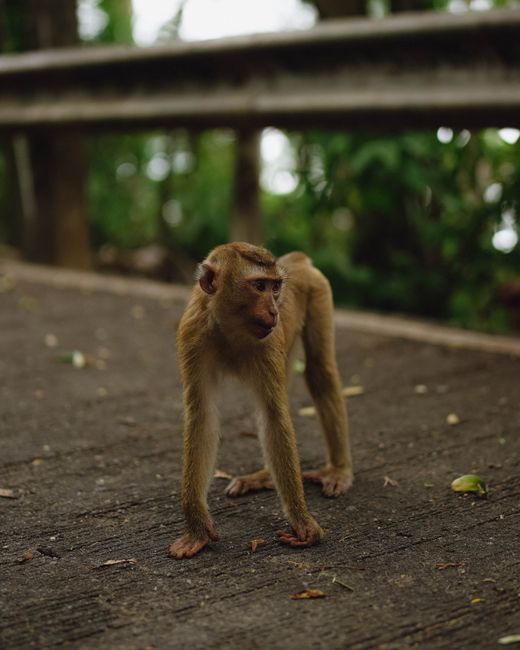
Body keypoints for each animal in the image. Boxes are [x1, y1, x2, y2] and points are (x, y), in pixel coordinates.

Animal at [169, 242, 352, 559]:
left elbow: (273, 416)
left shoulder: (267, 343)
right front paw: (198, 528)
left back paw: (338, 470)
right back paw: (265, 476)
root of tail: (296, 260)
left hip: (319, 291)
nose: (274, 310)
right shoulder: (192, 334)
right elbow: (202, 415)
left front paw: (302, 522)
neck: (228, 328)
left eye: (275, 287)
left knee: (320, 371)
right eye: (259, 286)